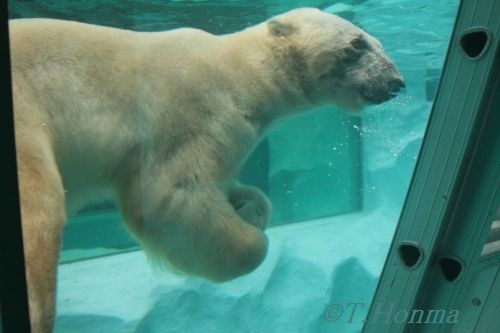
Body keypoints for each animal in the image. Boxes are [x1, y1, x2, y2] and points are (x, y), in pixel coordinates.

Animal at [9, 7, 404, 332]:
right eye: (357, 44)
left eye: (379, 42)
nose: (397, 82)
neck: (239, 70)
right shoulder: (191, 111)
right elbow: (172, 195)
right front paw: (252, 237)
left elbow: (226, 184)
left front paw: (248, 207)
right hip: (25, 119)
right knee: (40, 209)